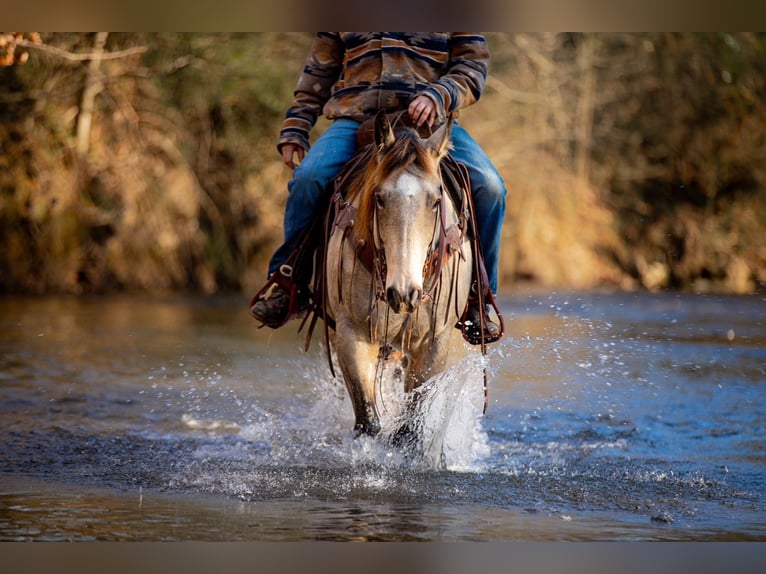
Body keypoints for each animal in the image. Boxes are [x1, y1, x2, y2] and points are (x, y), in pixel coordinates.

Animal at [319, 111, 475, 437]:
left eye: (435, 202)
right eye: (379, 198)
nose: (404, 292)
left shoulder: (434, 343)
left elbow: (411, 428)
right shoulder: (351, 334)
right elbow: (368, 421)